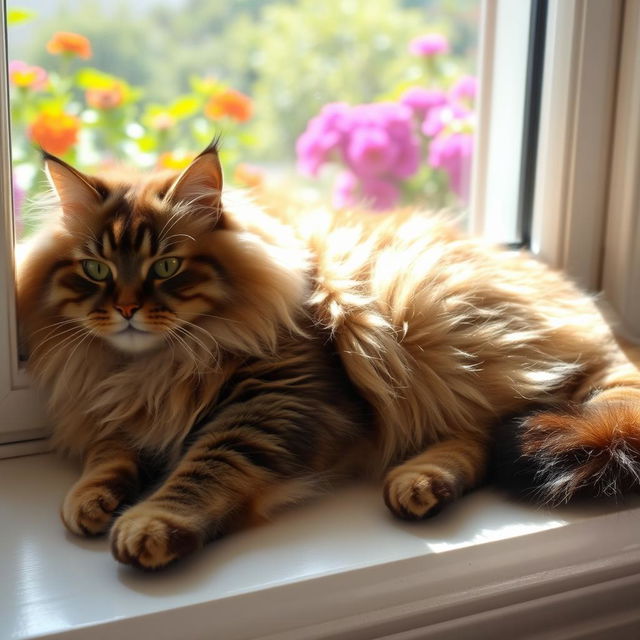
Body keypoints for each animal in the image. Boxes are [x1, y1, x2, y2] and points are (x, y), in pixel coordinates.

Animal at [16, 141, 640, 568]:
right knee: (484, 438)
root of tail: (592, 314)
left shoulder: (273, 401)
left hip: (433, 325)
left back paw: (417, 483)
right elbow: (108, 454)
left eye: (166, 267)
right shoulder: (120, 412)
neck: (148, 368)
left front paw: (149, 524)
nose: (125, 308)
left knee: (496, 428)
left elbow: (202, 471)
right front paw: (90, 499)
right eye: (95, 269)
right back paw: (421, 486)